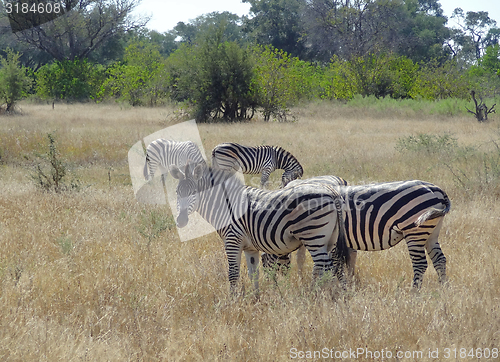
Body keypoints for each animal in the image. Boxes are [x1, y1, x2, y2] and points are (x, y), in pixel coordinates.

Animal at [168, 162, 348, 294]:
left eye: (194, 192)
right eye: (177, 192)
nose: (180, 220)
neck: (225, 205)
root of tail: (331, 192)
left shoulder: (232, 240)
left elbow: (233, 274)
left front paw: (232, 303)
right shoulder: (250, 247)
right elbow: (253, 273)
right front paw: (256, 299)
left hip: (314, 237)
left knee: (326, 268)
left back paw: (322, 298)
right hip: (329, 240)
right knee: (334, 267)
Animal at [264, 177, 452, 290]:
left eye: (265, 261)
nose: (272, 285)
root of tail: (436, 189)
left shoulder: (326, 238)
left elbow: (333, 265)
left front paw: (335, 287)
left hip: (415, 231)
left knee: (420, 263)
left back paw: (414, 293)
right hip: (431, 231)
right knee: (439, 259)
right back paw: (443, 289)